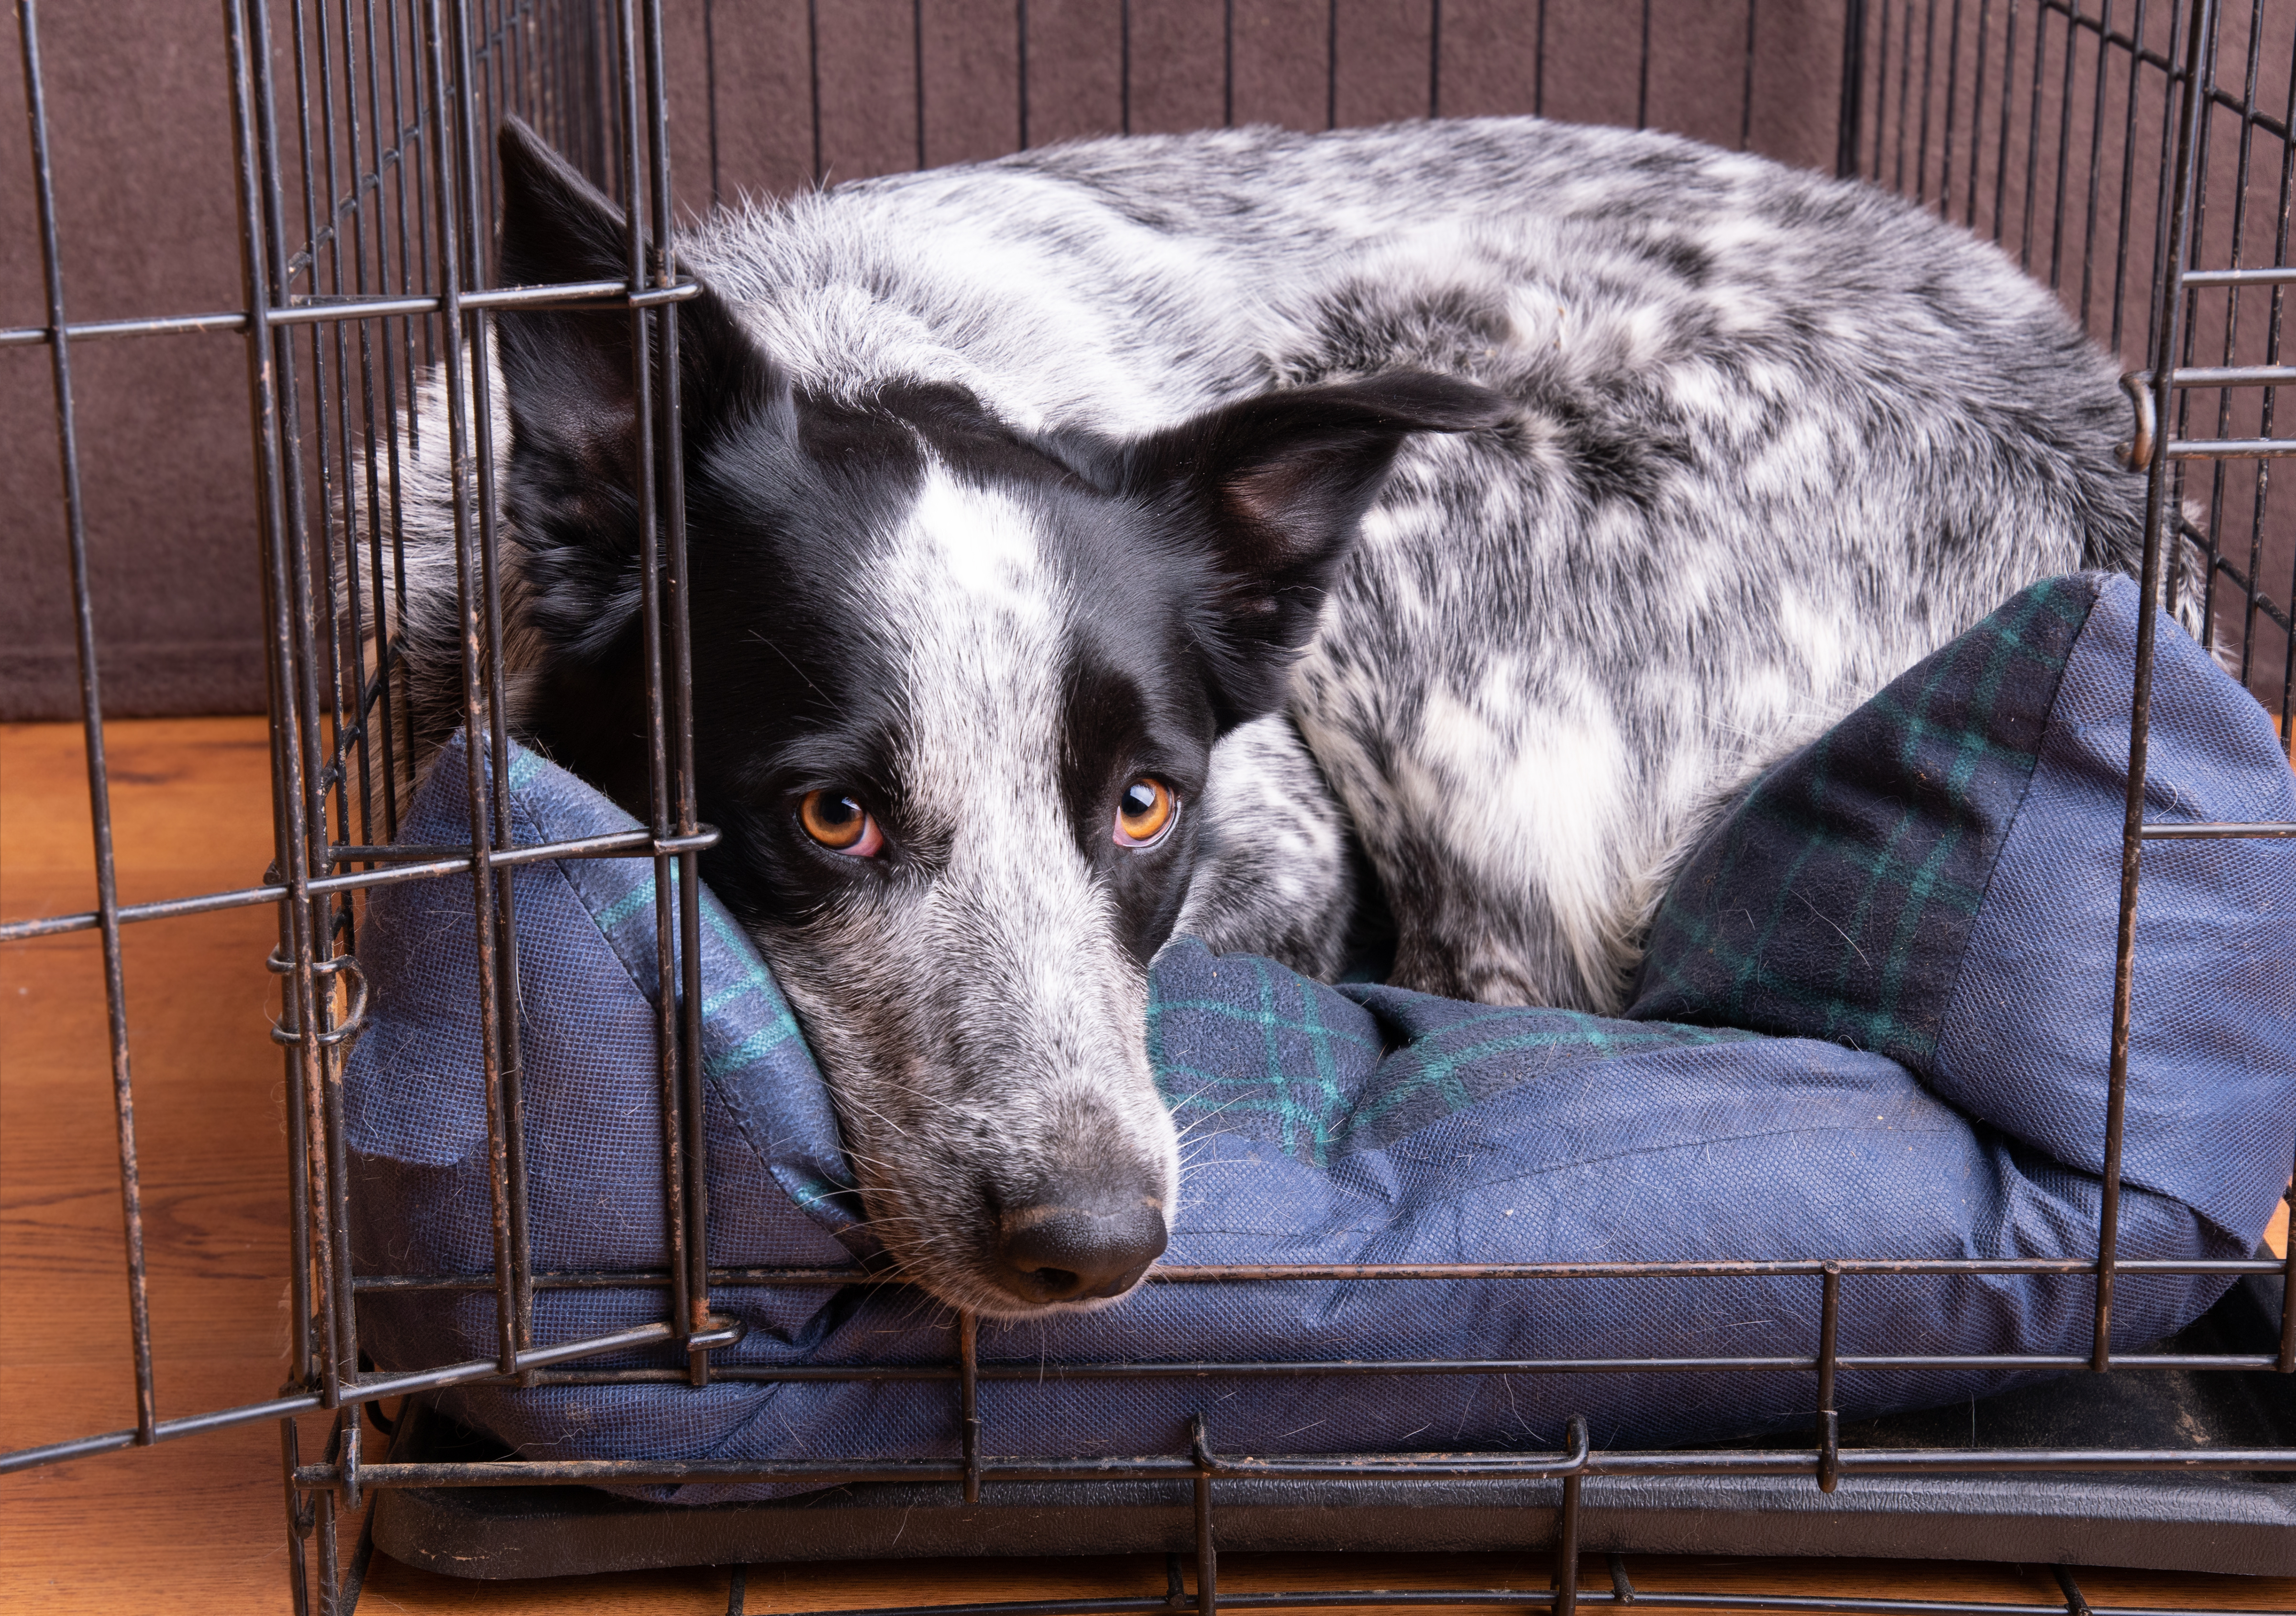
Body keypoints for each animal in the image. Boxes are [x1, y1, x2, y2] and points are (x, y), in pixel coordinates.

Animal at [386, 120, 2158, 1322]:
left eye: (1145, 802)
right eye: (832, 815)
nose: (1093, 1239)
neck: (868, 345)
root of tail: (2129, 529)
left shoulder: (1292, 846)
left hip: (1418, 435)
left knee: (1511, 974)